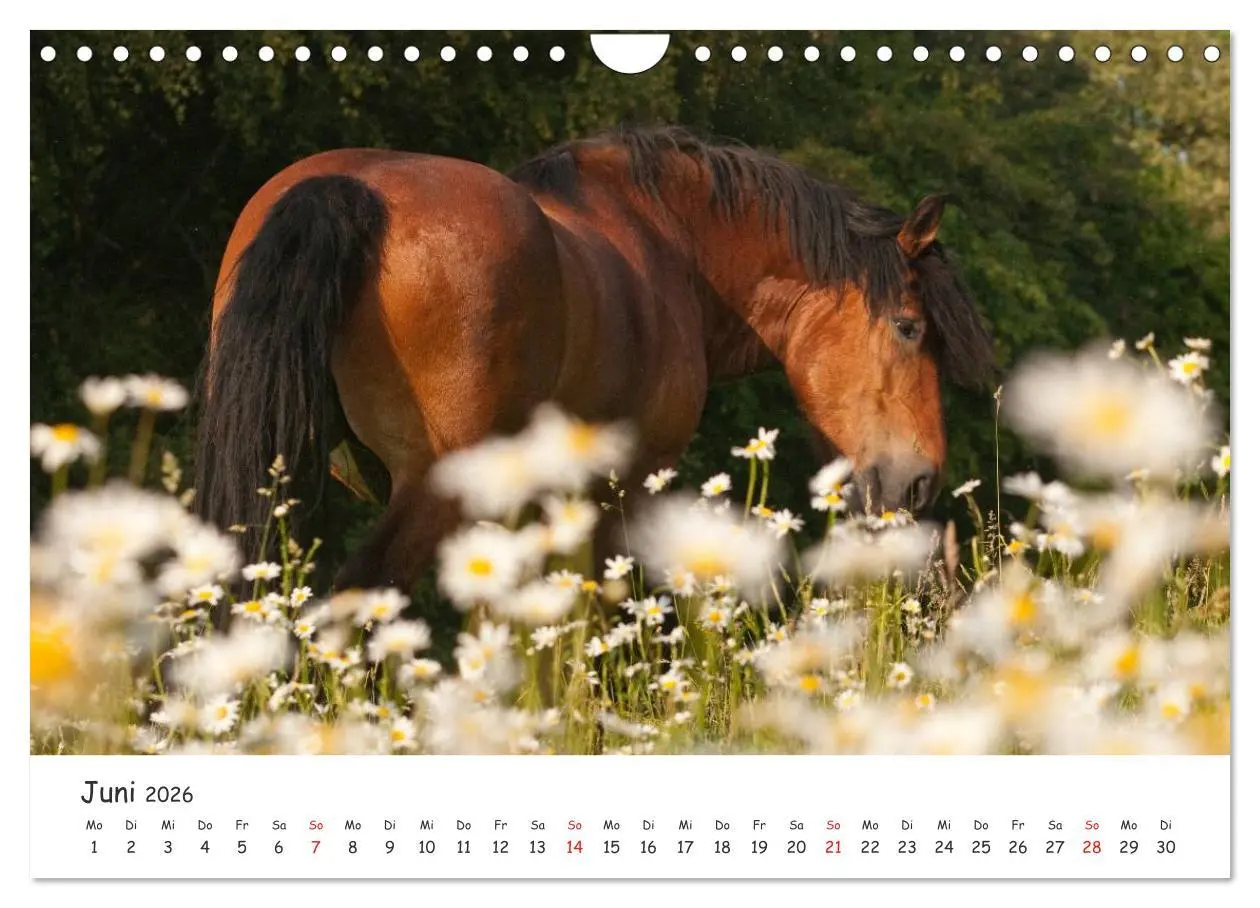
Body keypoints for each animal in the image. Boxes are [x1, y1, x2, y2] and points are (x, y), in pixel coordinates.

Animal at [194, 126, 992, 593]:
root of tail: (352, 192)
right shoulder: (622, 488)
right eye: (909, 328)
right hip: (432, 486)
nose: (921, 482)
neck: (667, 240)